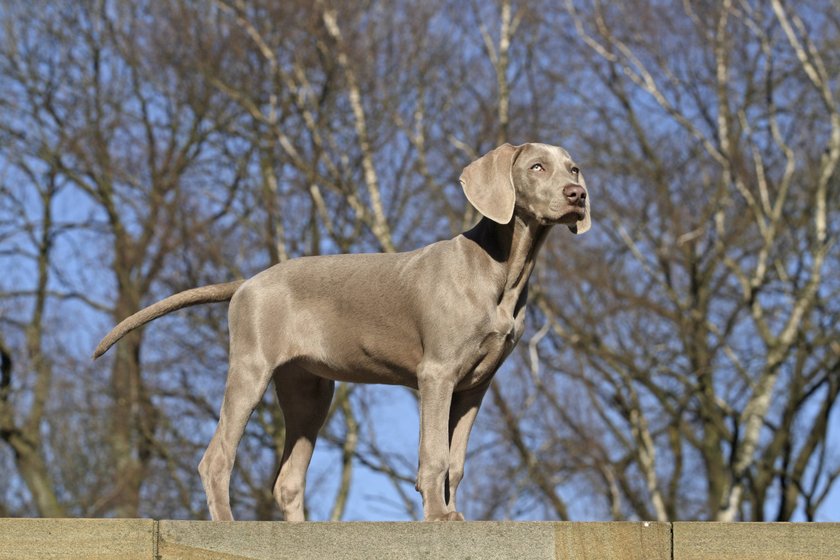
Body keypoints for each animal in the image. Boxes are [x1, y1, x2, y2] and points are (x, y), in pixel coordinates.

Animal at [93, 141, 592, 520]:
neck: (502, 269)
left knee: (287, 482)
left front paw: (453, 513)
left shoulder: (475, 387)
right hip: (251, 370)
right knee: (216, 458)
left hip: (309, 392)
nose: (577, 195)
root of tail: (249, 281)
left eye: (573, 168)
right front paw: (437, 517)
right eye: (536, 167)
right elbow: (434, 454)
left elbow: (456, 461)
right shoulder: (437, 374)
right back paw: (226, 525)